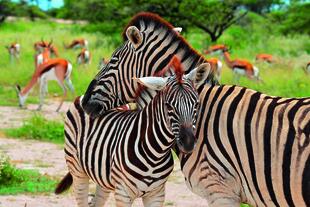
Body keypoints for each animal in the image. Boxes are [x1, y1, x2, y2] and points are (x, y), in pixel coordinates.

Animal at [55, 58, 211, 207]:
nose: (188, 143)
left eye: (197, 104)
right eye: (168, 106)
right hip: (77, 169)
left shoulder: (157, 194)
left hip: (103, 178)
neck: (155, 153)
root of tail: (81, 97)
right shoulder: (123, 193)